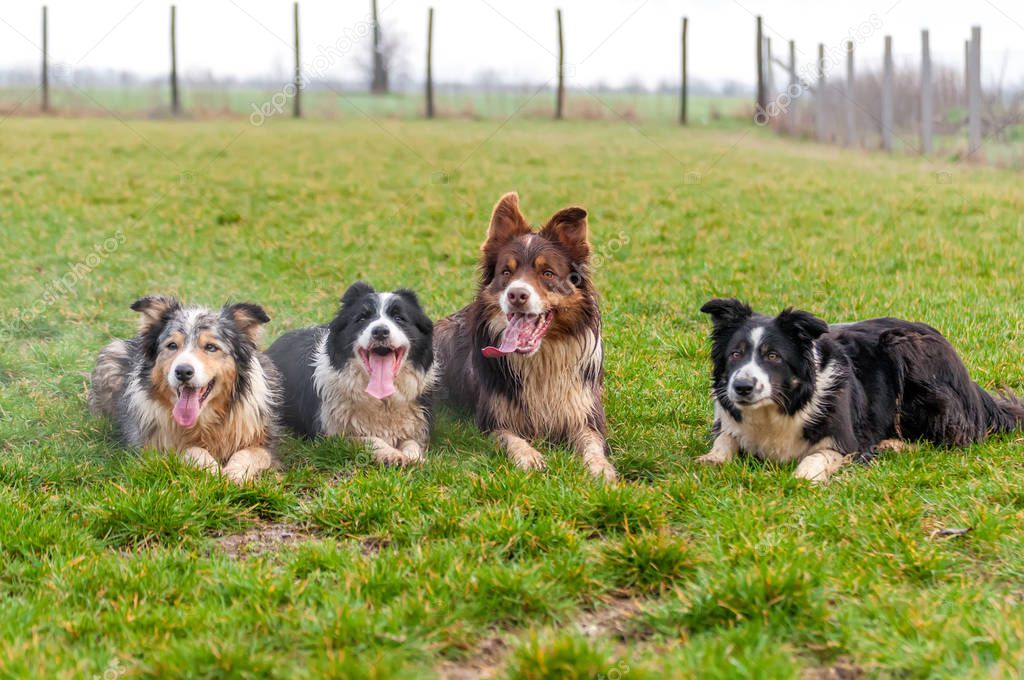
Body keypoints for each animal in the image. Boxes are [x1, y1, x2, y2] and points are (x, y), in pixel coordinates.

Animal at [88, 296, 278, 483]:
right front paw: (212, 470)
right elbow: (189, 449)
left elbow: (251, 453)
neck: (204, 421)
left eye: (211, 347)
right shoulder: (152, 444)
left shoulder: (264, 440)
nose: (183, 371)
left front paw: (234, 473)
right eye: (172, 345)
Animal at [266, 282, 434, 466]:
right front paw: (391, 454)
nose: (380, 331)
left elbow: (412, 442)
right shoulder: (330, 436)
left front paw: (414, 457)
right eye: (362, 318)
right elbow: (366, 439)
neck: (382, 402)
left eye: (399, 318)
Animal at [434, 188, 614, 481]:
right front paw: (528, 456)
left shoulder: (585, 414)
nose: (516, 294)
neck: (542, 359)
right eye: (506, 272)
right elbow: (511, 438)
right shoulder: (491, 420)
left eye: (548, 273)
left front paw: (600, 468)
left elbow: (592, 444)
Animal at [696, 299, 1024, 483]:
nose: (742, 387)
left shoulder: (849, 442)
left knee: (951, 437)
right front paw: (711, 459)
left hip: (905, 347)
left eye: (773, 356)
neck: (780, 406)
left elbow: (818, 457)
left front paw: (803, 477)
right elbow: (726, 437)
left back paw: (894, 445)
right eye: (735, 354)